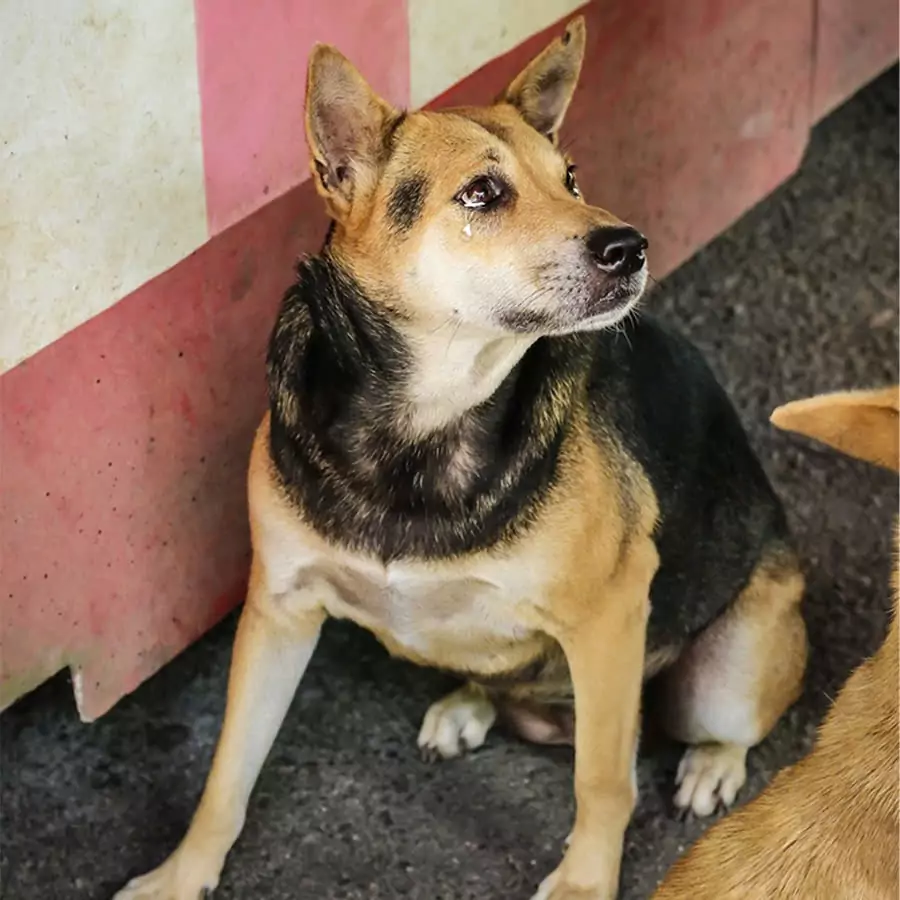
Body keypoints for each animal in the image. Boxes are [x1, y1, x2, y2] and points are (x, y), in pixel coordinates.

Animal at [114, 15, 808, 900]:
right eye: (482, 194)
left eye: (571, 177)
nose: (631, 245)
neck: (421, 425)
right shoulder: (277, 608)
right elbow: (228, 770)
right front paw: (180, 873)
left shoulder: (609, 614)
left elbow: (603, 781)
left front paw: (583, 882)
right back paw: (466, 704)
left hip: (725, 676)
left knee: (712, 728)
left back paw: (710, 765)